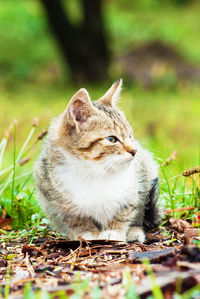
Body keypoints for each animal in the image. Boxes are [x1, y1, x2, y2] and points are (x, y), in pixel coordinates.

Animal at [33, 79, 160, 244]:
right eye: (112, 139)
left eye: (130, 136)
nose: (134, 150)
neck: (96, 170)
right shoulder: (52, 191)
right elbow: (75, 217)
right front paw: (86, 233)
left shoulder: (134, 184)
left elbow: (124, 210)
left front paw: (114, 232)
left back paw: (134, 232)